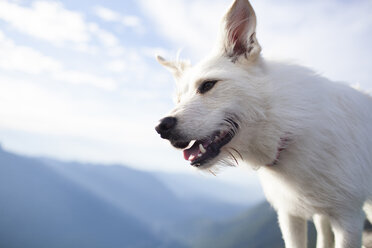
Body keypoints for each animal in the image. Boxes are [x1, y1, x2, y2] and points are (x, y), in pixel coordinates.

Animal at [154, 0, 372, 247]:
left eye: (208, 85)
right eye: (178, 100)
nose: (161, 127)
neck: (286, 127)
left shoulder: (349, 219)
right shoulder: (290, 216)